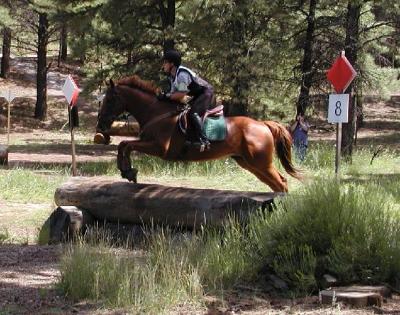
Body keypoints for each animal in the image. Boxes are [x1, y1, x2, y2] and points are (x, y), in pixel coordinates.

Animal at [97, 76, 302, 193]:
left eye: (109, 100)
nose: (100, 125)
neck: (156, 112)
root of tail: (263, 124)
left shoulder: (160, 148)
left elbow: (127, 144)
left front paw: (128, 171)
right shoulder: (147, 141)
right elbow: (124, 145)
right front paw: (126, 170)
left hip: (260, 162)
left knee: (281, 183)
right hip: (249, 163)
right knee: (277, 184)